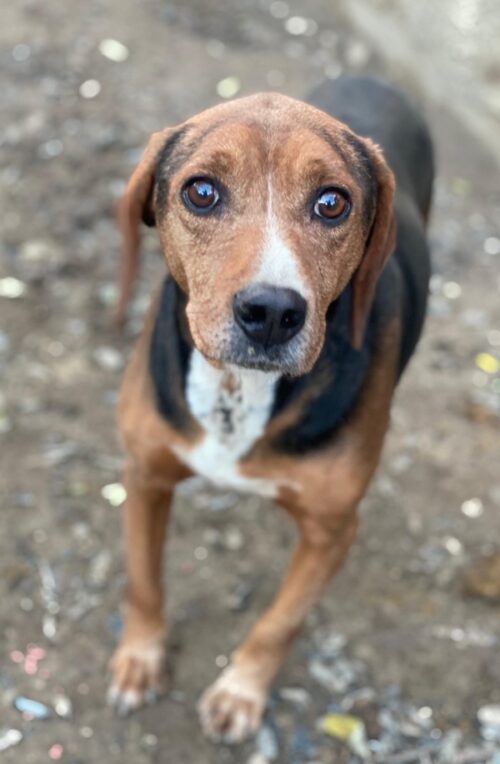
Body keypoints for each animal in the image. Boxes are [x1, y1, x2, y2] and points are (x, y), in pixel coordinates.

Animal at [108, 75, 433, 743]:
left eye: (333, 203)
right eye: (201, 192)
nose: (272, 312)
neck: (240, 390)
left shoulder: (333, 530)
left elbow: (279, 623)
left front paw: (241, 693)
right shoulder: (145, 473)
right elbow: (144, 581)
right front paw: (139, 660)